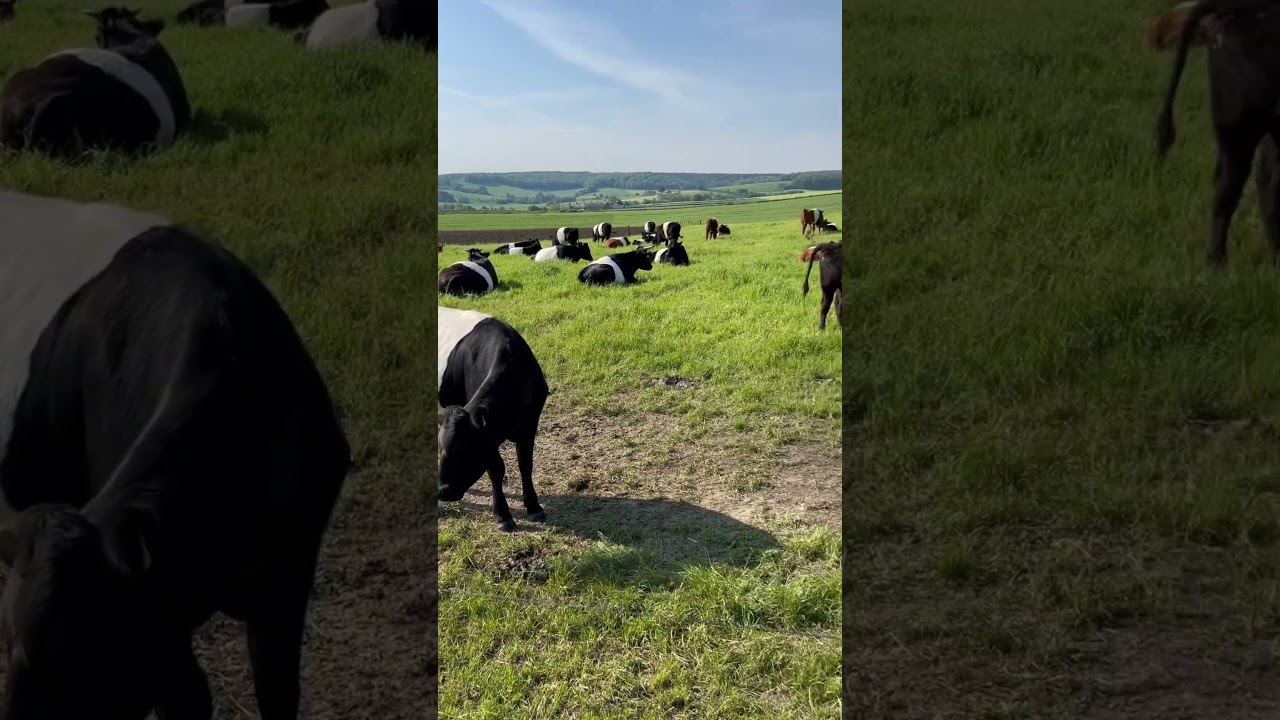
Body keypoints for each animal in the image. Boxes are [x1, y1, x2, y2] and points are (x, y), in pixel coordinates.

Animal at [0, 190, 351, 718]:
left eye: (78, 651)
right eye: (11, 645)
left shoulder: (287, 581)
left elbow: (276, 691)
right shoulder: (163, 620)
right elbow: (189, 695)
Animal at [438, 307, 547, 533]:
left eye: (462, 449)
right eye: (443, 448)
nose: (441, 491)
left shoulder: (530, 424)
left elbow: (526, 464)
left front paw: (534, 506)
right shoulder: (489, 439)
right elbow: (496, 469)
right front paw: (503, 515)